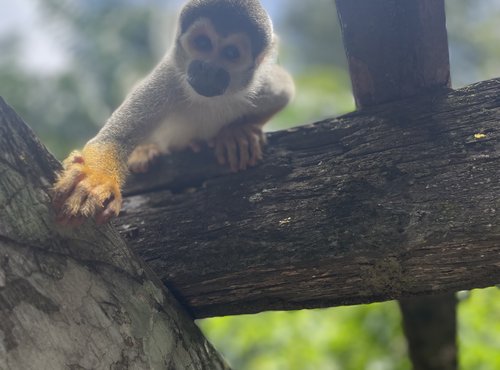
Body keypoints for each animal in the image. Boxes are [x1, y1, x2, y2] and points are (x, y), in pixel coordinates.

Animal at [51, 0, 292, 224]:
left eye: (231, 53)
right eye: (203, 43)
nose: (208, 68)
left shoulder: (257, 84)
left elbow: (285, 91)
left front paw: (236, 133)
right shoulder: (167, 78)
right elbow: (114, 138)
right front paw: (96, 179)